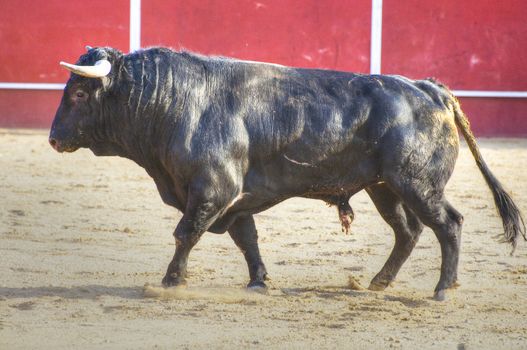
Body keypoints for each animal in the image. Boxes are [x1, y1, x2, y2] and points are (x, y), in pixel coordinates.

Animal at [48, 45, 524, 300]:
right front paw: (258, 282)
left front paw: (170, 282)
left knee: (448, 224)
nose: (53, 139)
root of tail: (429, 88)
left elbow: (186, 233)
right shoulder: (234, 199)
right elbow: (247, 239)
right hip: (385, 187)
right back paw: (378, 282)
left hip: (418, 184)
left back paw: (443, 288)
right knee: (408, 232)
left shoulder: (213, 188)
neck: (172, 102)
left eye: (78, 93)